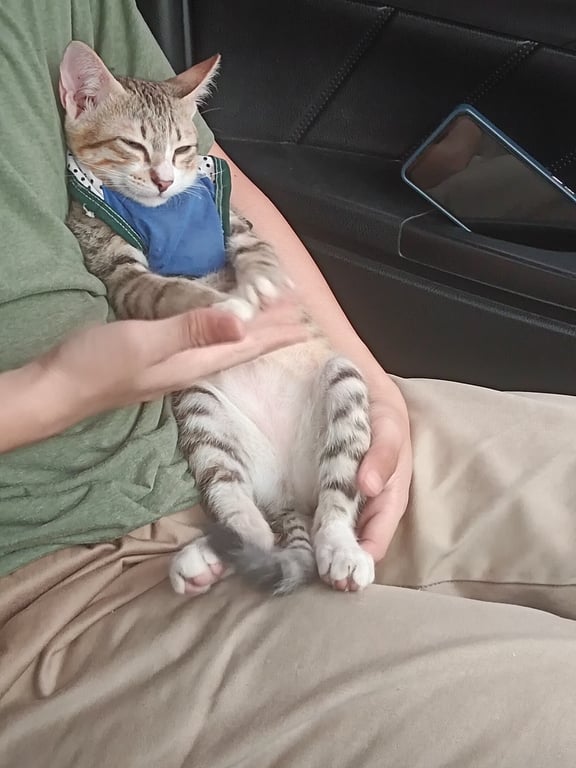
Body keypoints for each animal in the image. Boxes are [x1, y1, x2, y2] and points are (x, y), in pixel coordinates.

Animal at [60, 41, 375, 596]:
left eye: (184, 150)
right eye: (134, 146)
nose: (164, 180)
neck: (163, 212)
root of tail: (286, 492)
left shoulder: (235, 219)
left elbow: (257, 248)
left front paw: (264, 281)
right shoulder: (116, 266)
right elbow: (163, 290)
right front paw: (218, 306)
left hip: (342, 382)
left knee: (335, 497)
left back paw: (340, 550)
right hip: (202, 411)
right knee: (240, 510)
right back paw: (209, 556)